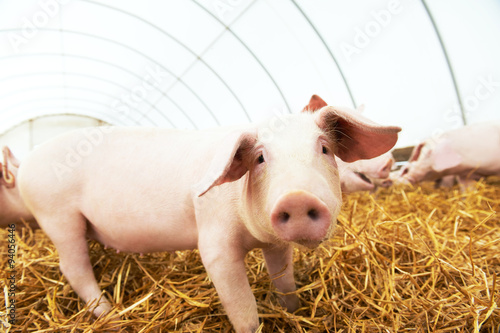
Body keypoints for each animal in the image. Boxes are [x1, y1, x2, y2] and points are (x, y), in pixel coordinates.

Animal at [17, 105, 400, 330]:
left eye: (324, 148)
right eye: (260, 158)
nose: (296, 196)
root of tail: (25, 164)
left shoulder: (276, 244)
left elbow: (285, 280)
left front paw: (294, 311)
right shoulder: (214, 242)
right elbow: (242, 307)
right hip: (57, 216)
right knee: (72, 266)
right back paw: (109, 313)